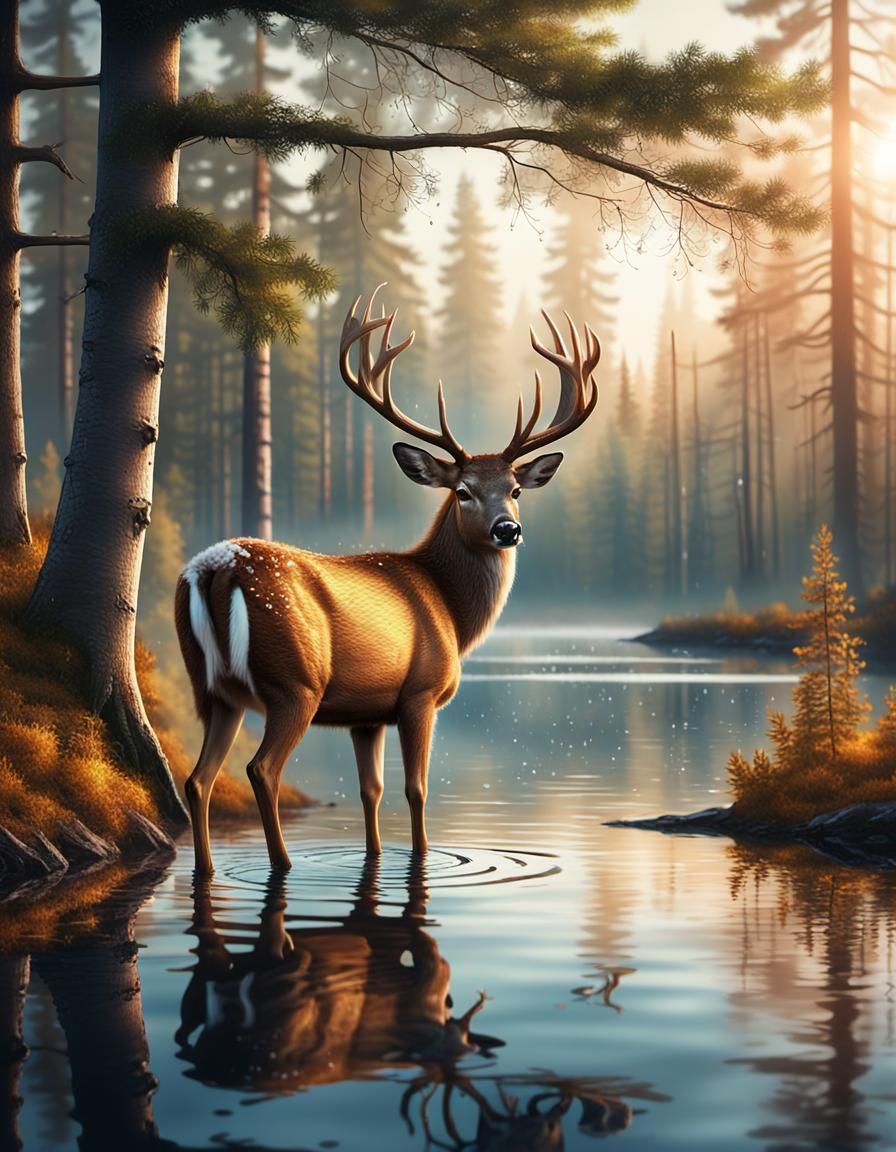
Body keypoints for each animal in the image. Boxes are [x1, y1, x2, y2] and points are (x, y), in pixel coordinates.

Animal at [175, 284, 601, 874]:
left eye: (515, 489)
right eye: (462, 490)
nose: (508, 529)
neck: (450, 609)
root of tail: (217, 567)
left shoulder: (367, 713)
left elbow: (370, 791)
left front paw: (375, 859)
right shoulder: (419, 693)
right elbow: (416, 790)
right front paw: (420, 860)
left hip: (213, 689)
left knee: (197, 779)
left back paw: (209, 869)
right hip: (295, 682)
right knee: (261, 770)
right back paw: (282, 865)